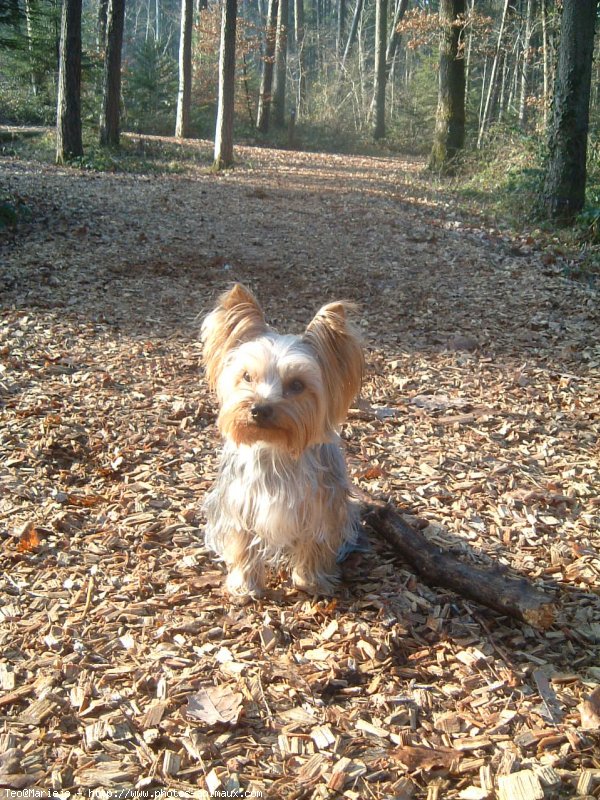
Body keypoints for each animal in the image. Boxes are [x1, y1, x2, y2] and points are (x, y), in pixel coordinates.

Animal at [202, 284, 364, 596]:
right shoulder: (239, 502)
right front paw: (245, 587)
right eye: (247, 376)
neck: (275, 448)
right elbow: (242, 543)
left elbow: (315, 541)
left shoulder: (321, 505)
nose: (259, 409)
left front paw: (310, 581)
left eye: (297, 385)